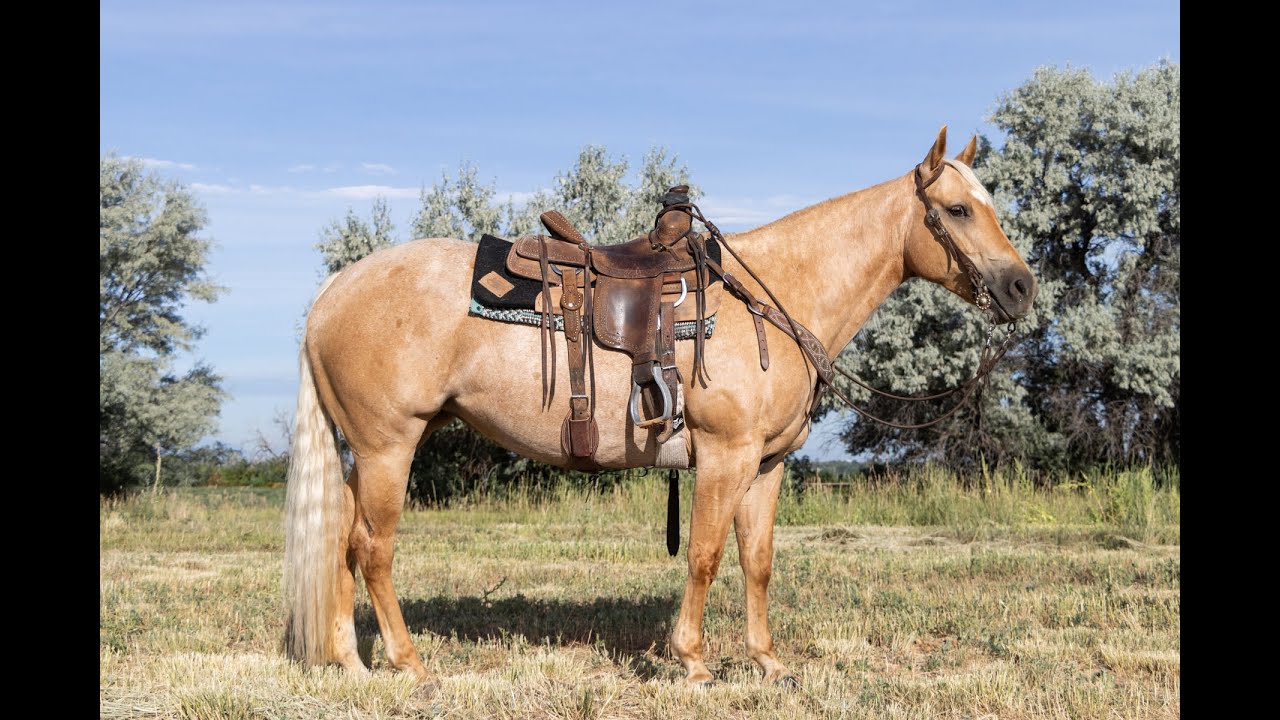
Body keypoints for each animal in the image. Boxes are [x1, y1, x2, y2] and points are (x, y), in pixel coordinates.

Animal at [283, 126, 1038, 689]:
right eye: (959, 210)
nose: (1022, 288)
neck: (772, 297)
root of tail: (332, 293)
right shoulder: (725, 456)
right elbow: (704, 554)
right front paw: (694, 662)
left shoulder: (767, 466)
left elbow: (757, 560)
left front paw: (768, 662)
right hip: (389, 448)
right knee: (373, 549)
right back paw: (410, 666)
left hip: (364, 455)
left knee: (344, 544)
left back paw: (352, 662)